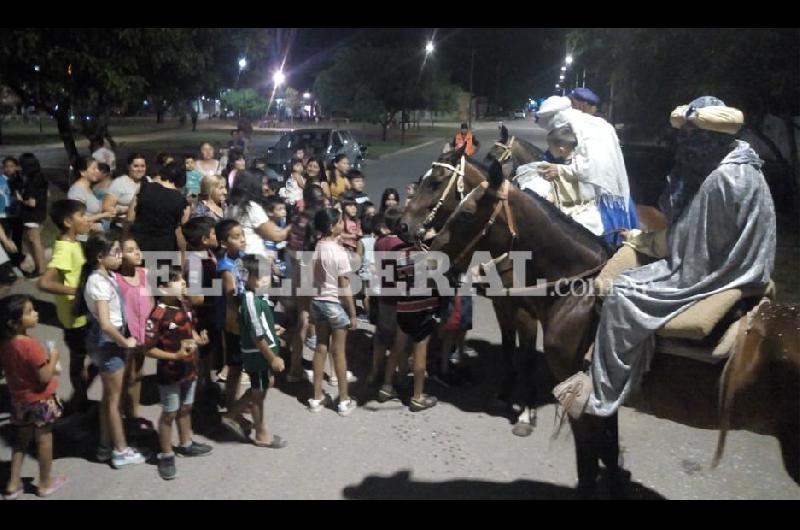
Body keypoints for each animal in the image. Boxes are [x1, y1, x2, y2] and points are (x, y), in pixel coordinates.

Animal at [404, 145, 540, 428]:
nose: (403, 225)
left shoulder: (527, 312)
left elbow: (528, 355)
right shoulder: (503, 304)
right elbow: (508, 345)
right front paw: (505, 393)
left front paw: (526, 411)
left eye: (434, 182)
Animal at [432, 159, 800, 492]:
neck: (576, 291)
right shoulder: (605, 399)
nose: (432, 251)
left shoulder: (579, 397)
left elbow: (587, 464)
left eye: (466, 212)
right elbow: (608, 454)